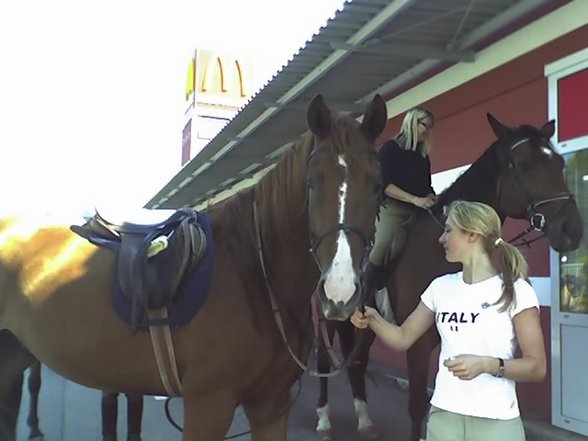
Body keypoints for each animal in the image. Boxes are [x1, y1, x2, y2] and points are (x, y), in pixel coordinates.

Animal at [0, 93, 388, 440]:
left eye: (376, 184)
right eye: (311, 183)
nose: (339, 293)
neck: (255, 275)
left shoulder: (271, 406)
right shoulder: (209, 404)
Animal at [314, 114, 580, 440]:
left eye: (560, 163)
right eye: (525, 164)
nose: (572, 229)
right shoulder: (416, 341)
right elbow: (417, 405)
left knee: (358, 361)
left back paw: (365, 421)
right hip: (328, 317)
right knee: (324, 360)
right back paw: (323, 421)